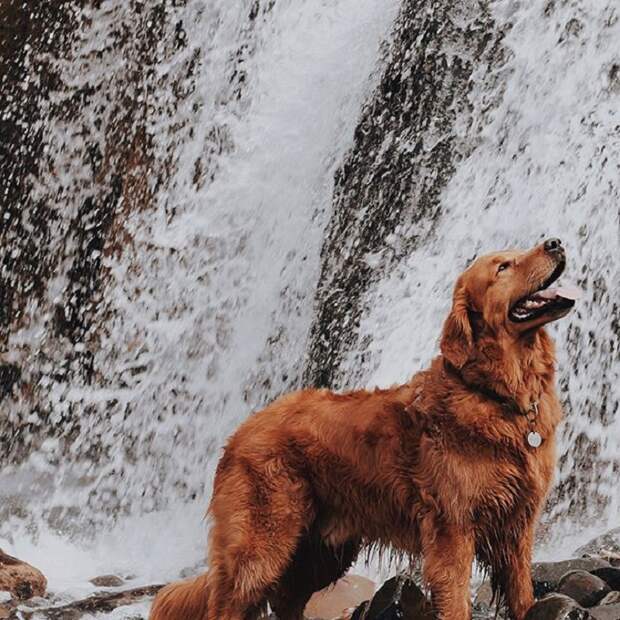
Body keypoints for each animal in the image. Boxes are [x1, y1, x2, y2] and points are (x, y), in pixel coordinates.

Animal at [151, 239, 580, 620]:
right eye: (503, 266)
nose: (555, 242)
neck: (497, 396)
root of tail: (241, 430)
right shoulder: (452, 530)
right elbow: (456, 601)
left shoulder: (517, 528)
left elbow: (522, 595)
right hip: (261, 547)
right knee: (230, 605)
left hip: (321, 553)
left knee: (287, 601)